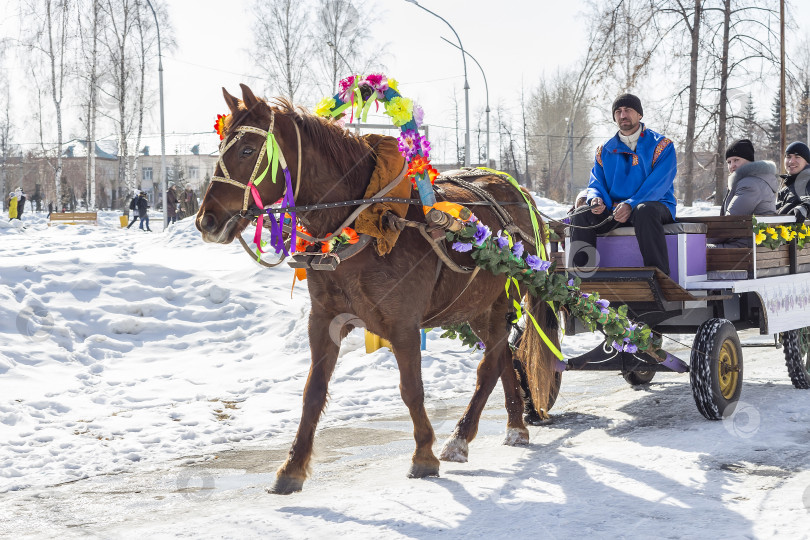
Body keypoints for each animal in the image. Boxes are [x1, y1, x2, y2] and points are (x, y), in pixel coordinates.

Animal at [197, 83, 560, 494]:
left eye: (247, 150)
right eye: (220, 146)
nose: (206, 220)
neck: (363, 222)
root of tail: (518, 191)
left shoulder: (403, 325)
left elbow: (411, 388)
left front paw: (423, 454)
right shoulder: (324, 320)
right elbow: (313, 392)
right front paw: (292, 467)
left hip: (501, 301)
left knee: (490, 365)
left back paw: (462, 437)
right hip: (475, 308)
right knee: (502, 359)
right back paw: (512, 427)